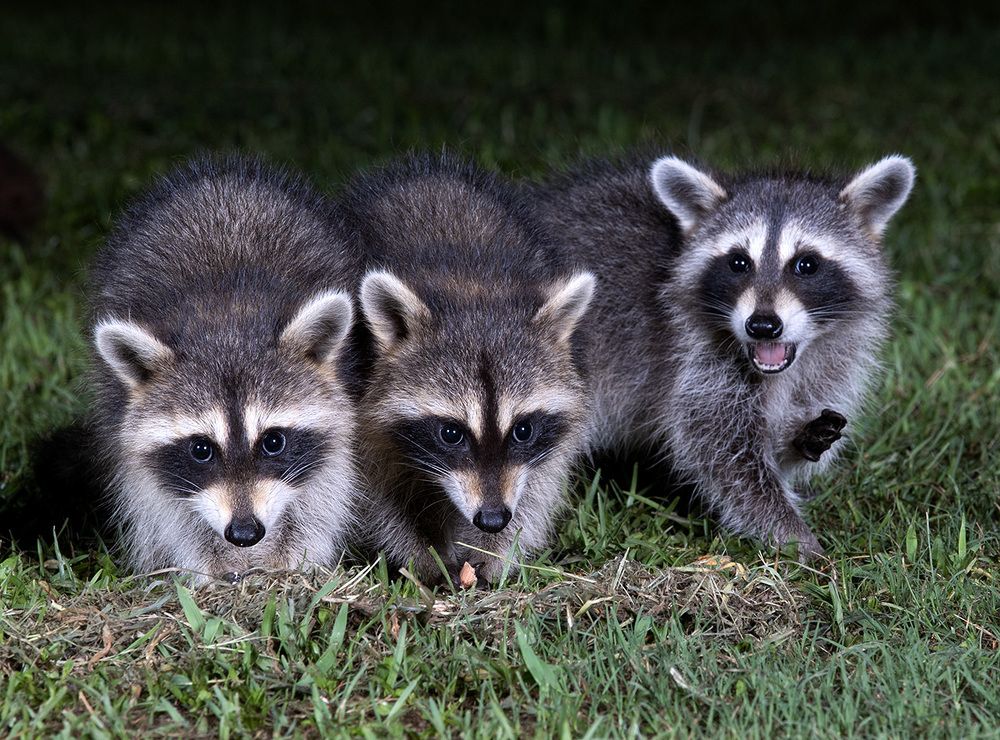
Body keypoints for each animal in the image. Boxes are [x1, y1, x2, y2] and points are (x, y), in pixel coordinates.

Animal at [88, 155, 359, 578]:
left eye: (273, 441)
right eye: (201, 448)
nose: (245, 533)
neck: (226, 320)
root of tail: (223, 176)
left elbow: (324, 490)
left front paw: (293, 561)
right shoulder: (130, 434)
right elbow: (161, 505)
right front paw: (205, 567)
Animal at [339, 154, 594, 585]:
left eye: (523, 430)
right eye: (450, 433)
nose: (492, 519)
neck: (472, 292)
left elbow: (537, 485)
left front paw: (497, 551)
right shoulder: (368, 408)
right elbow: (378, 493)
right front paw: (423, 555)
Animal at [533, 154, 915, 558]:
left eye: (807, 264)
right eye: (738, 263)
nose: (762, 326)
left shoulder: (831, 358)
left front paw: (801, 440)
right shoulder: (693, 360)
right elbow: (724, 456)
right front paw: (794, 536)